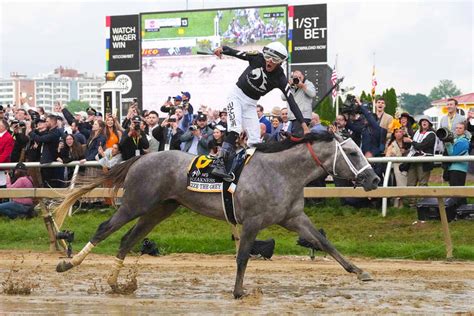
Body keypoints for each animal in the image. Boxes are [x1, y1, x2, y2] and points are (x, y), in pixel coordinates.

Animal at [54, 132, 378, 298]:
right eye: (353, 153)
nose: (374, 180)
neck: (281, 172)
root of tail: (142, 157)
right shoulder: (252, 222)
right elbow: (243, 256)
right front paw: (238, 292)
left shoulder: (293, 217)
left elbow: (325, 243)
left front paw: (360, 271)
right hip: (136, 203)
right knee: (104, 229)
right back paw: (68, 264)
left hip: (160, 209)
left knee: (126, 240)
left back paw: (114, 283)